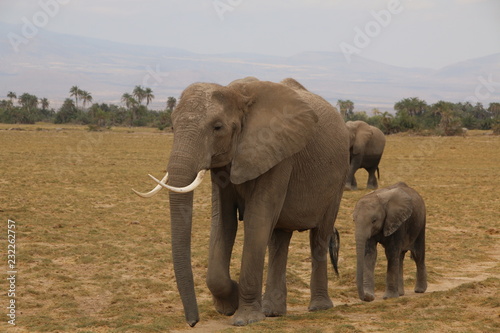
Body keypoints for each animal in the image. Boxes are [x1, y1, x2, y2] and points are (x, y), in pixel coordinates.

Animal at [135, 76, 350, 326]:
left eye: (217, 127)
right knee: (279, 239)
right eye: (171, 126)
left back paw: (318, 307)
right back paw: (272, 311)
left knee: (319, 236)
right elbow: (223, 220)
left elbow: (258, 219)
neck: (237, 94)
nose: (193, 322)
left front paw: (244, 319)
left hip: (339, 178)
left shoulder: (278, 154)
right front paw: (229, 305)